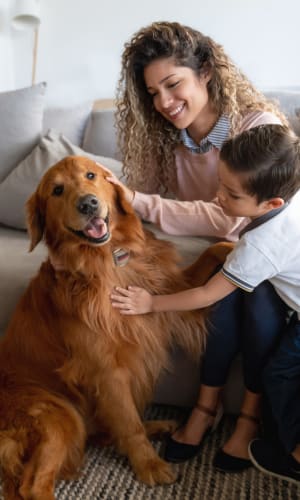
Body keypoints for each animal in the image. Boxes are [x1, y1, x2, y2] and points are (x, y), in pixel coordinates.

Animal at [0, 157, 232, 500]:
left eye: (91, 175)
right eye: (57, 190)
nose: (88, 204)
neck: (108, 261)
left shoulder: (171, 290)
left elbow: (212, 254)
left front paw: (239, 245)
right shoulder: (106, 371)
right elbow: (128, 422)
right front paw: (149, 465)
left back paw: (158, 426)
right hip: (60, 414)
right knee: (33, 485)